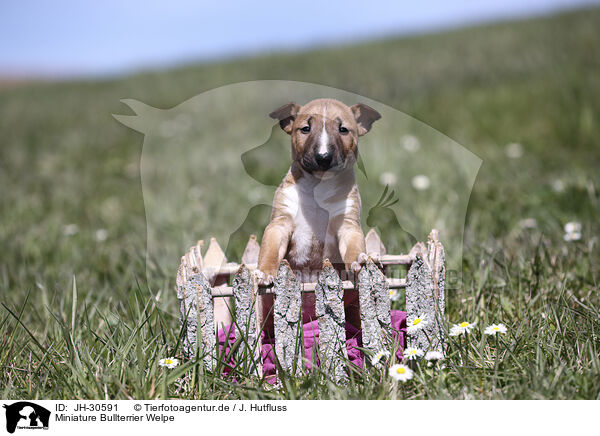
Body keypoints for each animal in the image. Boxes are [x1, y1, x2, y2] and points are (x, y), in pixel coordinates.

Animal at [256, 98, 380, 334]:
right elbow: (270, 248)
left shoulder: (346, 224)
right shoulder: (280, 223)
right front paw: (265, 273)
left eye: (343, 129)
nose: (323, 158)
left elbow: (353, 244)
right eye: (305, 128)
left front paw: (357, 261)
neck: (318, 186)